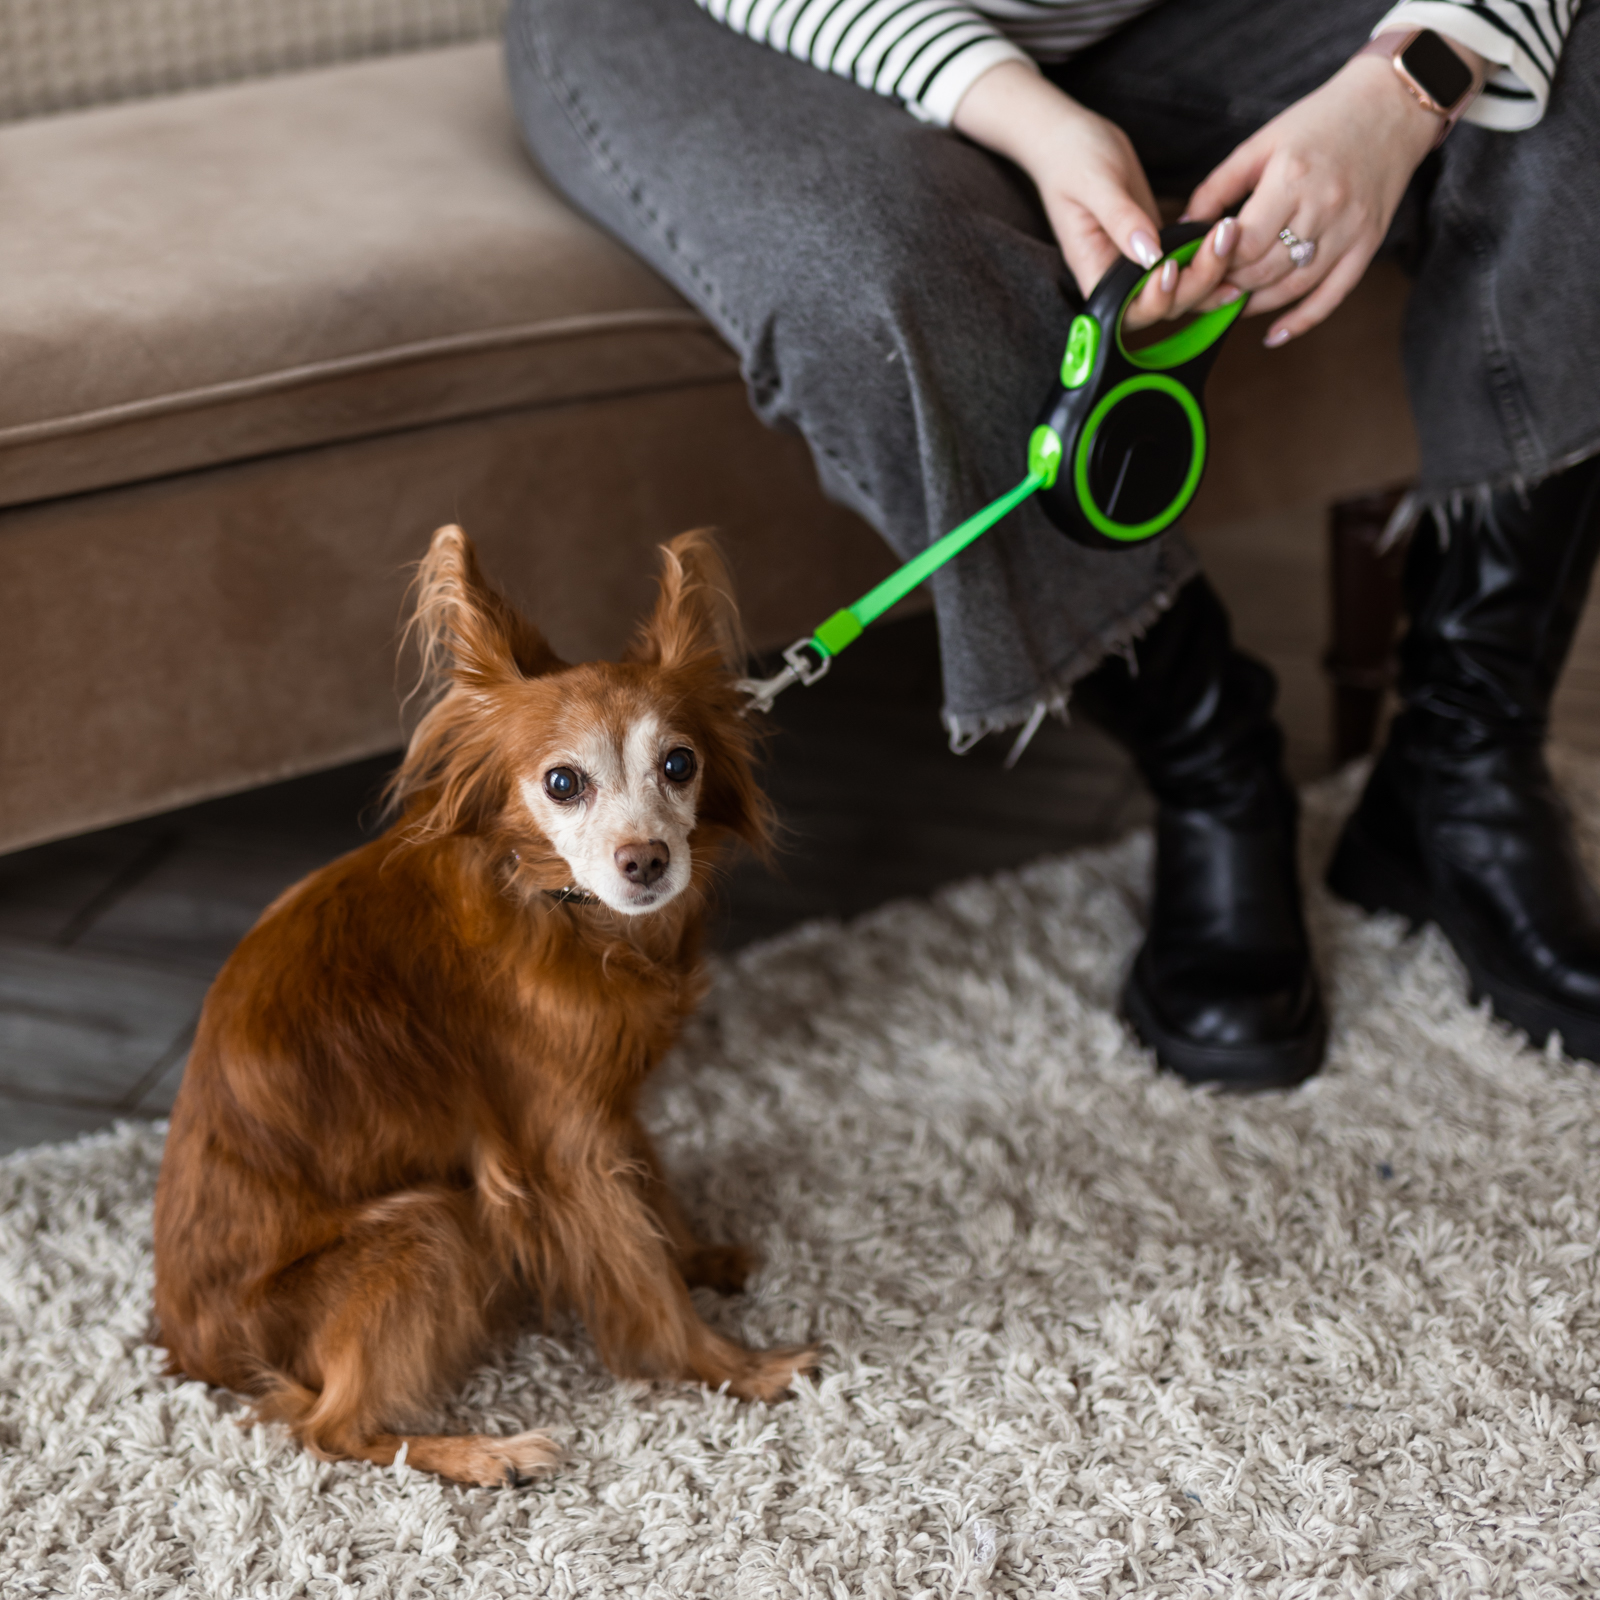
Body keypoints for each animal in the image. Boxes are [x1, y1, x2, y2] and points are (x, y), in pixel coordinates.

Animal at [152, 528, 812, 1484]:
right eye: (563, 783)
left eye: (680, 764)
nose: (647, 860)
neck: (554, 901)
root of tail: (194, 1354)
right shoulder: (559, 1149)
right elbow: (636, 1272)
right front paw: (732, 1368)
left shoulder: (603, 1103)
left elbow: (652, 1185)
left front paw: (700, 1253)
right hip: (428, 1225)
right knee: (329, 1428)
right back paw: (483, 1454)